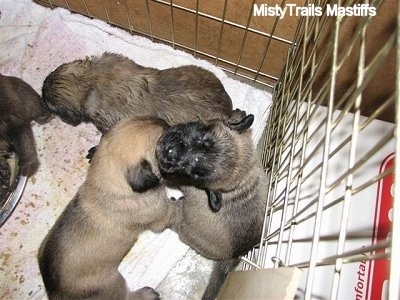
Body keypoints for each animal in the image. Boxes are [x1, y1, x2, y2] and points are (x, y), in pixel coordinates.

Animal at [38, 117, 175, 300]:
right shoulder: (160, 214)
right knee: (124, 296)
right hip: (114, 283)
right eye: (164, 141)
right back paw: (145, 294)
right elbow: (173, 210)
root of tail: (55, 295)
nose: (172, 125)